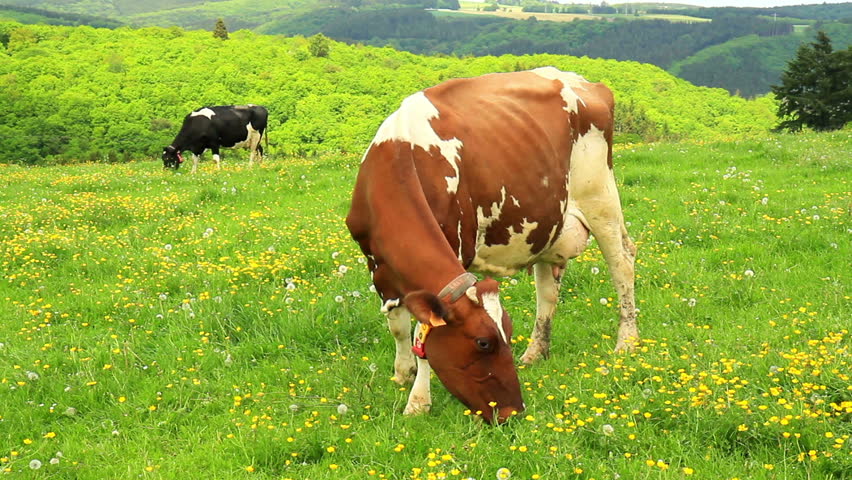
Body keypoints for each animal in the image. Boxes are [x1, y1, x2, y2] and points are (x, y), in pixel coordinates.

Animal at [346, 67, 637, 424]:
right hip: (547, 222)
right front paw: (403, 373)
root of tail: (576, 77)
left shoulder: (456, 248)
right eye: (484, 343)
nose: (513, 411)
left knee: (622, 263)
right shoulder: (376, 264)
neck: (401, 158)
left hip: (600, 197)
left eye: (506, 334)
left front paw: (418, 401)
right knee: (547, 291)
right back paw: (536, 352)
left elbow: (420, 333)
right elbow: (398, 325)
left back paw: (627, 342)